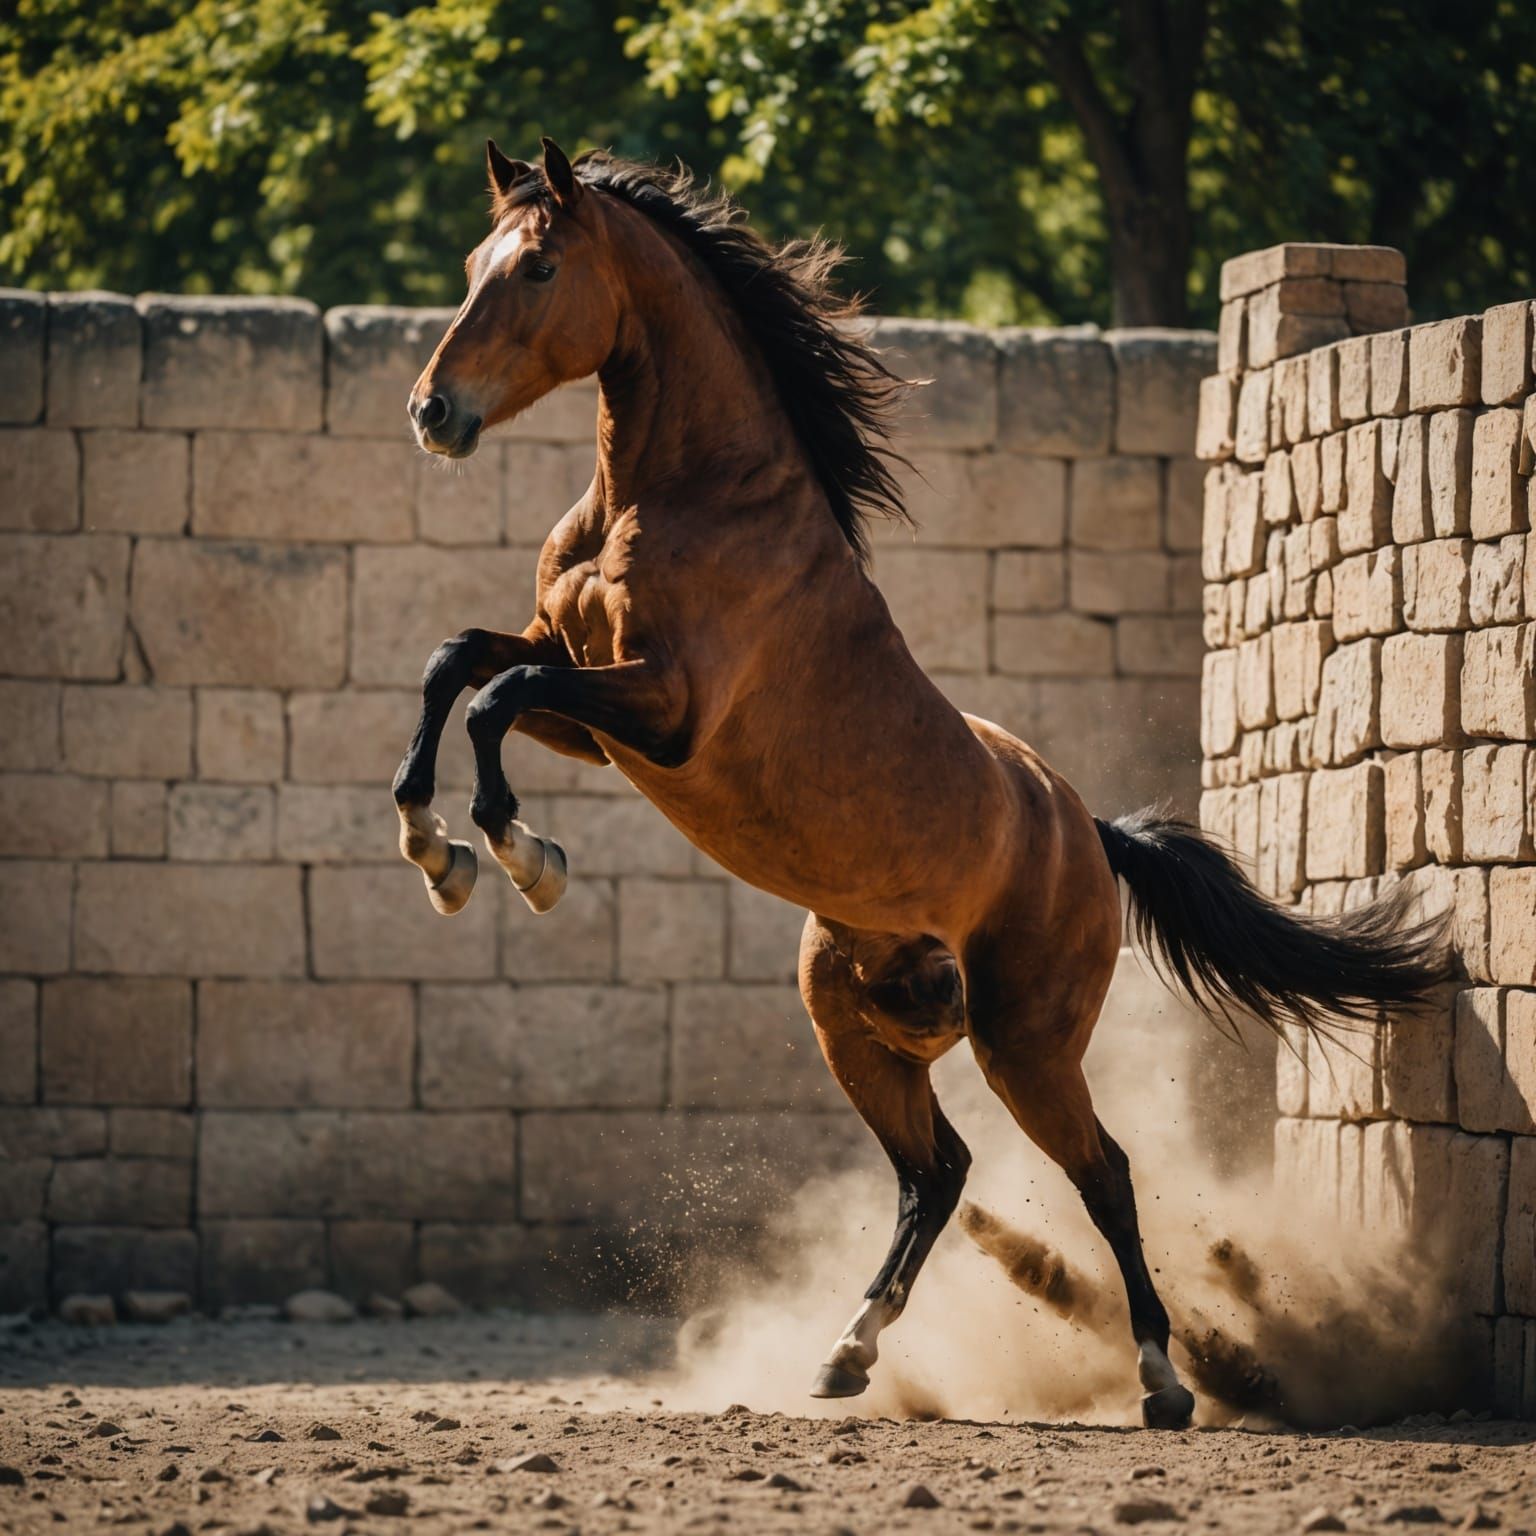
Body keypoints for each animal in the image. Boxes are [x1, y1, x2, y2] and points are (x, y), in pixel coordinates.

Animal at [390, 137, 1443, 1428]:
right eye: (474, 263)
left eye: (537, 267)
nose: (434, 412)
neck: (681, 497)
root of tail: (1090, 835)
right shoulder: (585, 698)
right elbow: (457, 665)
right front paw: (434, 849)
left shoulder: (662, 713)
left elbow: (493, 694)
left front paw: (516, 856)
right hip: (858, 1030)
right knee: (936, 1174)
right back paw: (846, 1354)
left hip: (1025, 1044)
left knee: (1101, 1173)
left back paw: (1163, 1379)